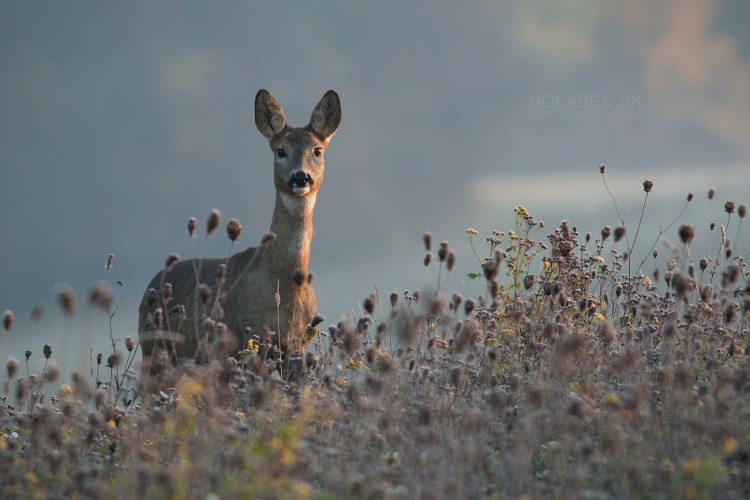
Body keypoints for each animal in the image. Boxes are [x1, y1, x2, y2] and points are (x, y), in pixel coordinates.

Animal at [139, 90, 344, 380]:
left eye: (317, 150)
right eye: (281, 150)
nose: (300, 177)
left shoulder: (296, 349)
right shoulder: (243, 344)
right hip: (155, 352)